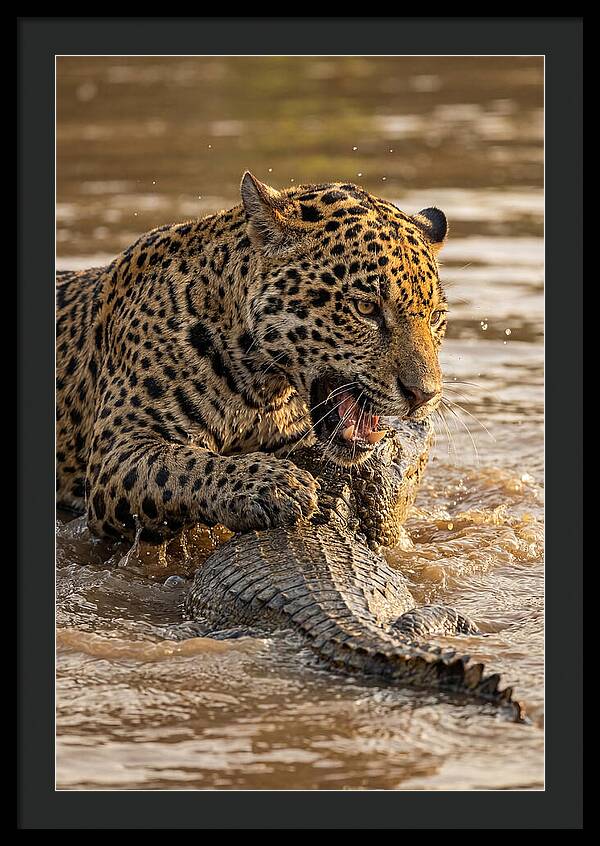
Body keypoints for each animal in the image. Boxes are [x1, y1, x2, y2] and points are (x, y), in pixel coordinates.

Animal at [56, 172, 449, 543]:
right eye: (366, 308)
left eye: (435, 317)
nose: (424, 395)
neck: (261, 387)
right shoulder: (118, 452)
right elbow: (182, 464)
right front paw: (274, 485)